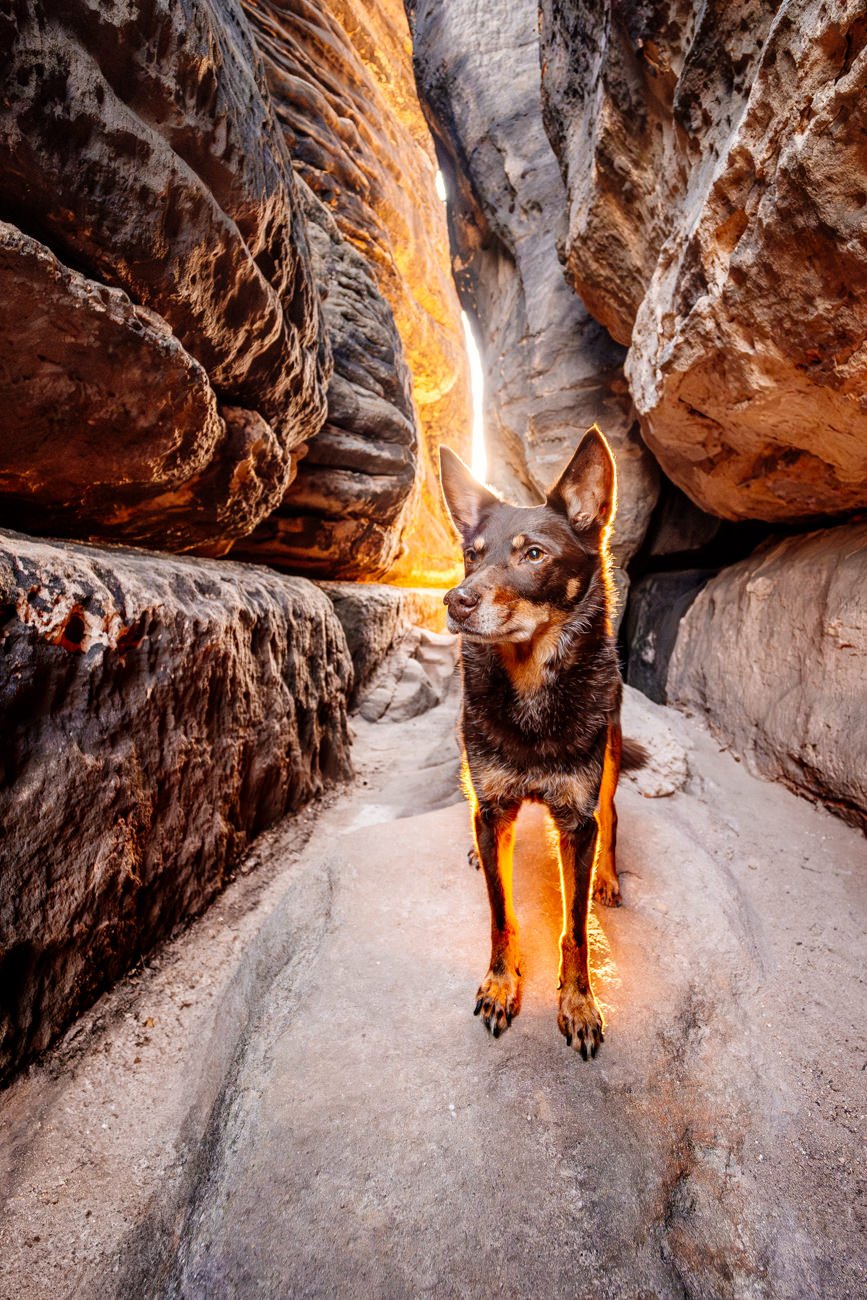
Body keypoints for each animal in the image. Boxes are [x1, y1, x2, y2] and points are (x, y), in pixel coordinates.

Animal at [444, 426, 642, 1055]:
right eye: (473, 555)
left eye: (534, 554)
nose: (455, 600)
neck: (530, 691)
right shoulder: (494, 806)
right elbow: (500, 914)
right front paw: (501, 985)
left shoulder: (576, 819)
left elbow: (574, 928)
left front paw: (578, 1003)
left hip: (609, 755)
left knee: (612, 817)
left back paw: (607, 878)